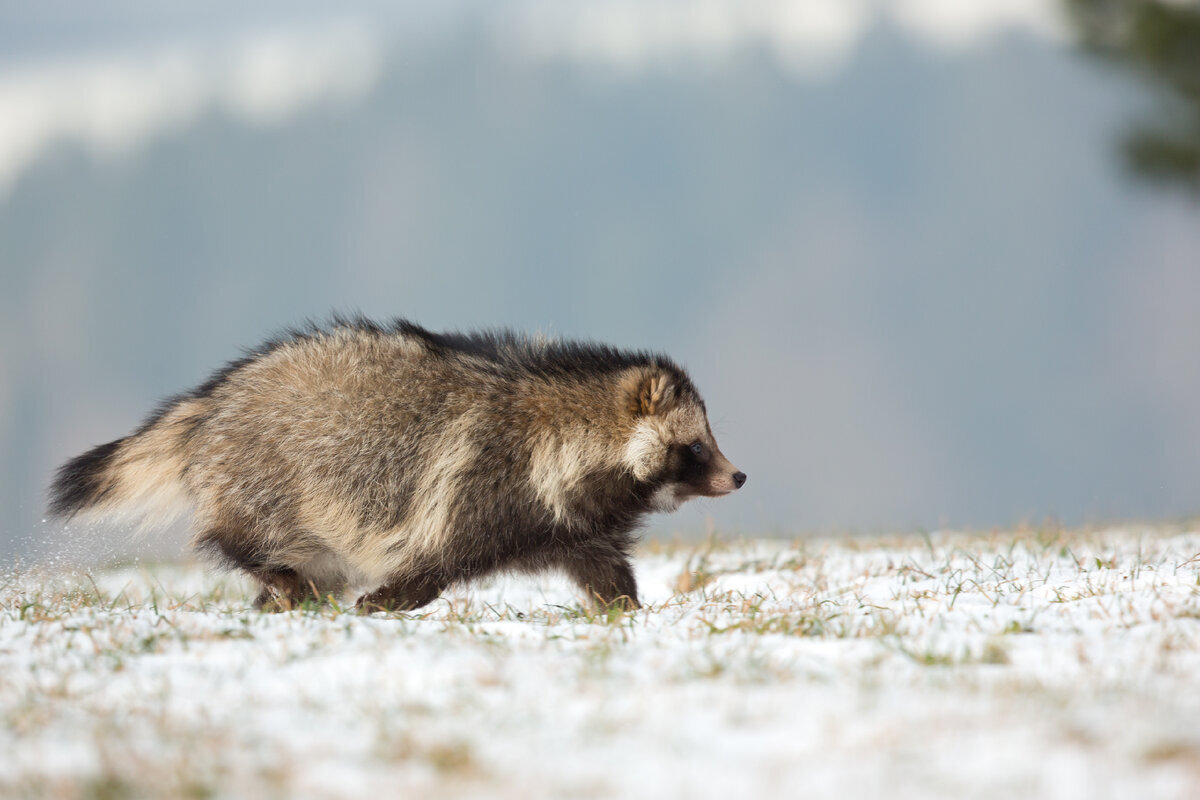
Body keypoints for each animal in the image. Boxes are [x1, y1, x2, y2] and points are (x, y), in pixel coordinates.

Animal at [51, 319, 744, 614]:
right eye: (697, 446)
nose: (738, 475)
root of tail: (214, 401)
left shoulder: (568, 520)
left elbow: (602, 564)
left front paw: (625, 607)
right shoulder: (482, 477)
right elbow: (438, 556)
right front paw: (392, 597)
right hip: (262, 474)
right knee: (252, 535)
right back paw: (281, 578)